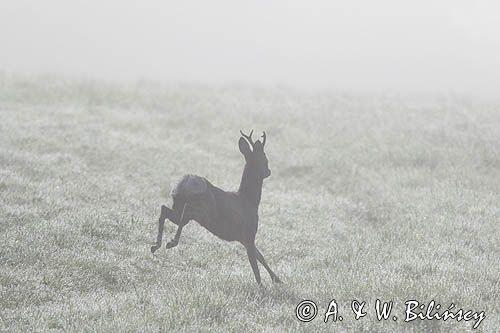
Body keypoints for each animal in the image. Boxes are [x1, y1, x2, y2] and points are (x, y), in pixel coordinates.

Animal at [148, 130, 282, 282]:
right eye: (265, 160)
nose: (268, 171)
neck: (249, 201)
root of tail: (185, 181)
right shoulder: (248, 233)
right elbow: (255, 268)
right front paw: (262, 286)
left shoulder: (244, 238)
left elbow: (261, 256)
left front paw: (278, 280)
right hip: (203, 211)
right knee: (187, 210)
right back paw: (171, 242)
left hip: (178, 206)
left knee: (165, 210)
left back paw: (156, 245)